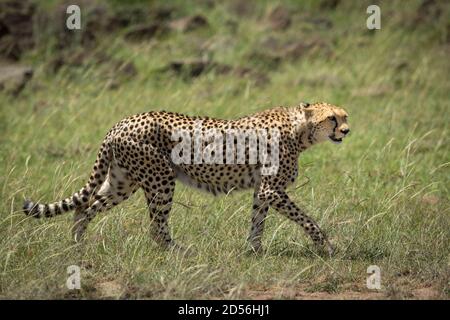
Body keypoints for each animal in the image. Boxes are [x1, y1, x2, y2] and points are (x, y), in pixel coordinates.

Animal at [22, 102, 350, 255]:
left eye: (345, 116)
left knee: (84, 206)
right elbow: (307, 219)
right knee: (156, 227)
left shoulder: (263, 190)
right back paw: (180, 251)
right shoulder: (272, 189)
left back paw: (76, 243)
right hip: (160, 177)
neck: (300, 129)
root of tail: (122, 122)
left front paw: (254, 251)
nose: (346, 131)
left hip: (122, 182)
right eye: (331, 118)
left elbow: (258, 221)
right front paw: (326, 246)